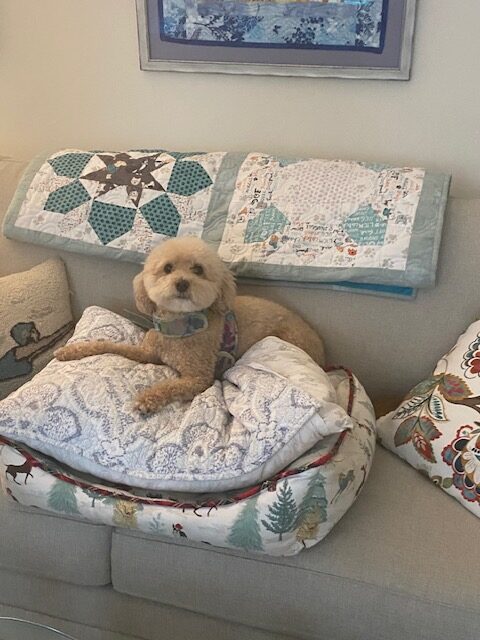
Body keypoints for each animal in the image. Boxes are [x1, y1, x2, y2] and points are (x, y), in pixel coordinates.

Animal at [56, 239, 326, 416]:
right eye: (167, 268)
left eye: (198, 269)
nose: (183, 283)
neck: (179, 328)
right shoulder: (147, 352)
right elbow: (109, 345)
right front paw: (71, 351)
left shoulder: (198, 378)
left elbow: (168, 386)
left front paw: (145, 400)